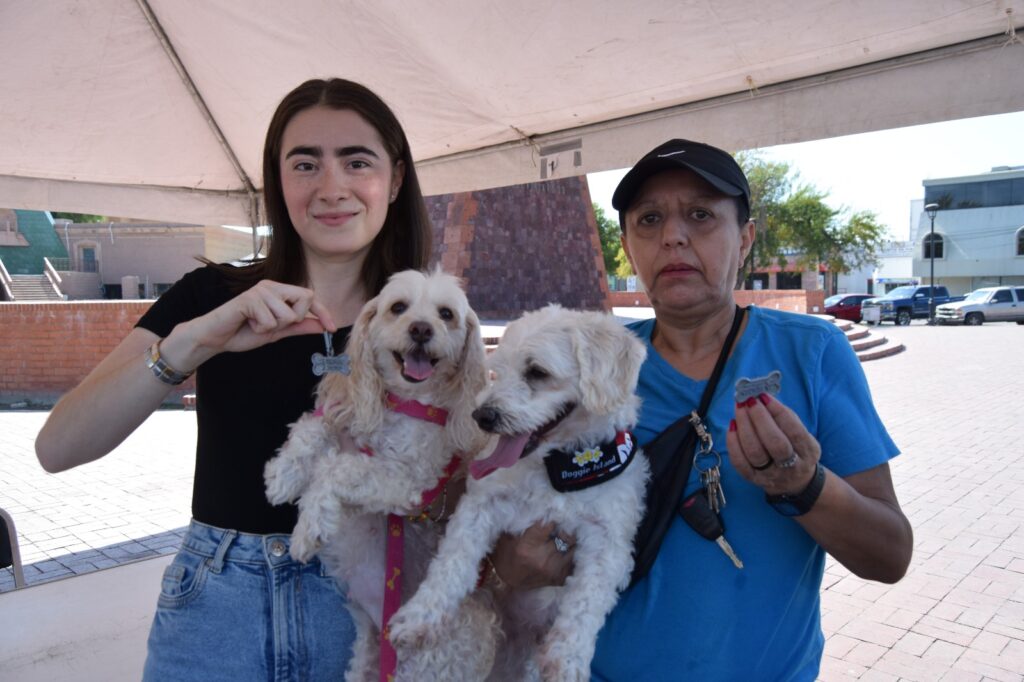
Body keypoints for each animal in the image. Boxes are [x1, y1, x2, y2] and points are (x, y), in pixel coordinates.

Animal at [264, 268, 499, 679]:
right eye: (398, 307)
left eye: (446, 314)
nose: (421, 329)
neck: (404, 402)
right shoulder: (350, 415)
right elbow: (312, 426)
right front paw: (282, 475)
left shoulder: (410, 480)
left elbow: (336, 469)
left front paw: (308, 529)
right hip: (366, 657)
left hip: (425, 665)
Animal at [387, 303, 651, 679]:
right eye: (496, 374)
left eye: (537, 372)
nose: (483, 416)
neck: (560, 469)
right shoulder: (482, 504)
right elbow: (452, 563)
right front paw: (420, 616)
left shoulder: (609, 542)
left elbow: (585, 604)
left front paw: (567, 659)